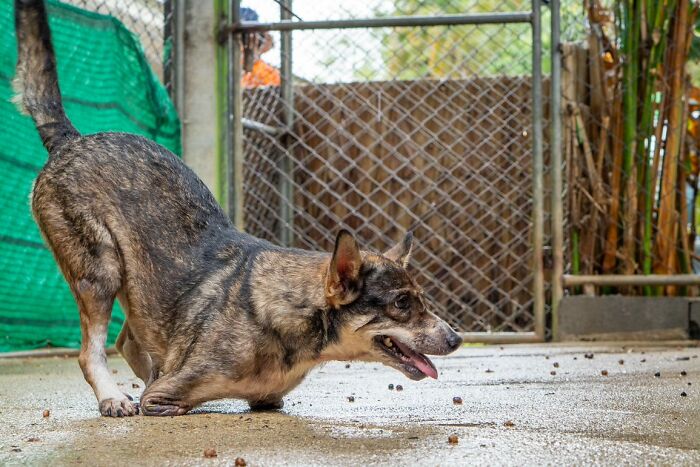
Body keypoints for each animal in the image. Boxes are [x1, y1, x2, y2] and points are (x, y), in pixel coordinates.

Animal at [13, 0, 462, 416]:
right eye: (401, 305)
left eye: (420, 299)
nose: (456, 338)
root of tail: (71, 139)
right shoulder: (165, 399)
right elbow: (161, 393)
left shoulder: (268, 400)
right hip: (100, 269)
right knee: (91, 351)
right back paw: (112, 396)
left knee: (126, 340)